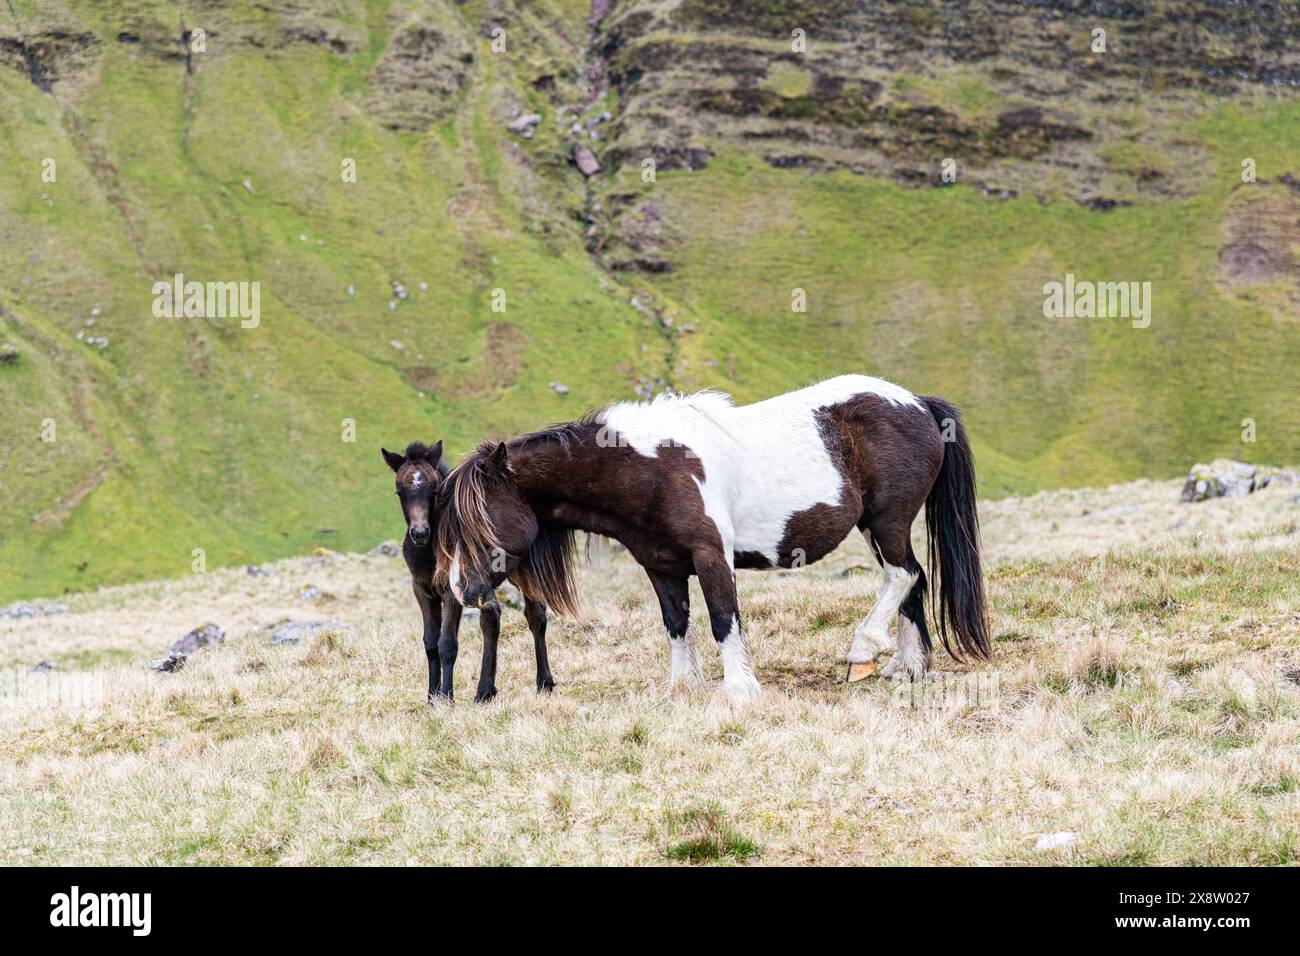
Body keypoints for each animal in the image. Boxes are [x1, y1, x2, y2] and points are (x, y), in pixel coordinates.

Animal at [381, 441, 555, 703]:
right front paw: (432, 698)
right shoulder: (421, 589)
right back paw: (487, 691)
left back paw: (544, 683)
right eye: (399, 492)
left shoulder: (452, 592)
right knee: (491, 619)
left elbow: (447, 644)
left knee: (536, 616)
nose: (420, 533)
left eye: (434, 492)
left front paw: (447, 698)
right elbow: (430, 643)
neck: (430, 553)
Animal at [434, 375, 990, 699]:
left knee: (903, 576)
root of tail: (917, 403)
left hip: (886, 522)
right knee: (913, 582)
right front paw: (684, 687)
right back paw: (906, 669)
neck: (650, 468)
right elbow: (676, 623)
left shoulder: (710, 556)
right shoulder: (660, 564)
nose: (461, 589)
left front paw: (741, 690)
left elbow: (724, 617)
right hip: (885, 528)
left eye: (480, 518)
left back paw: (863, 654)